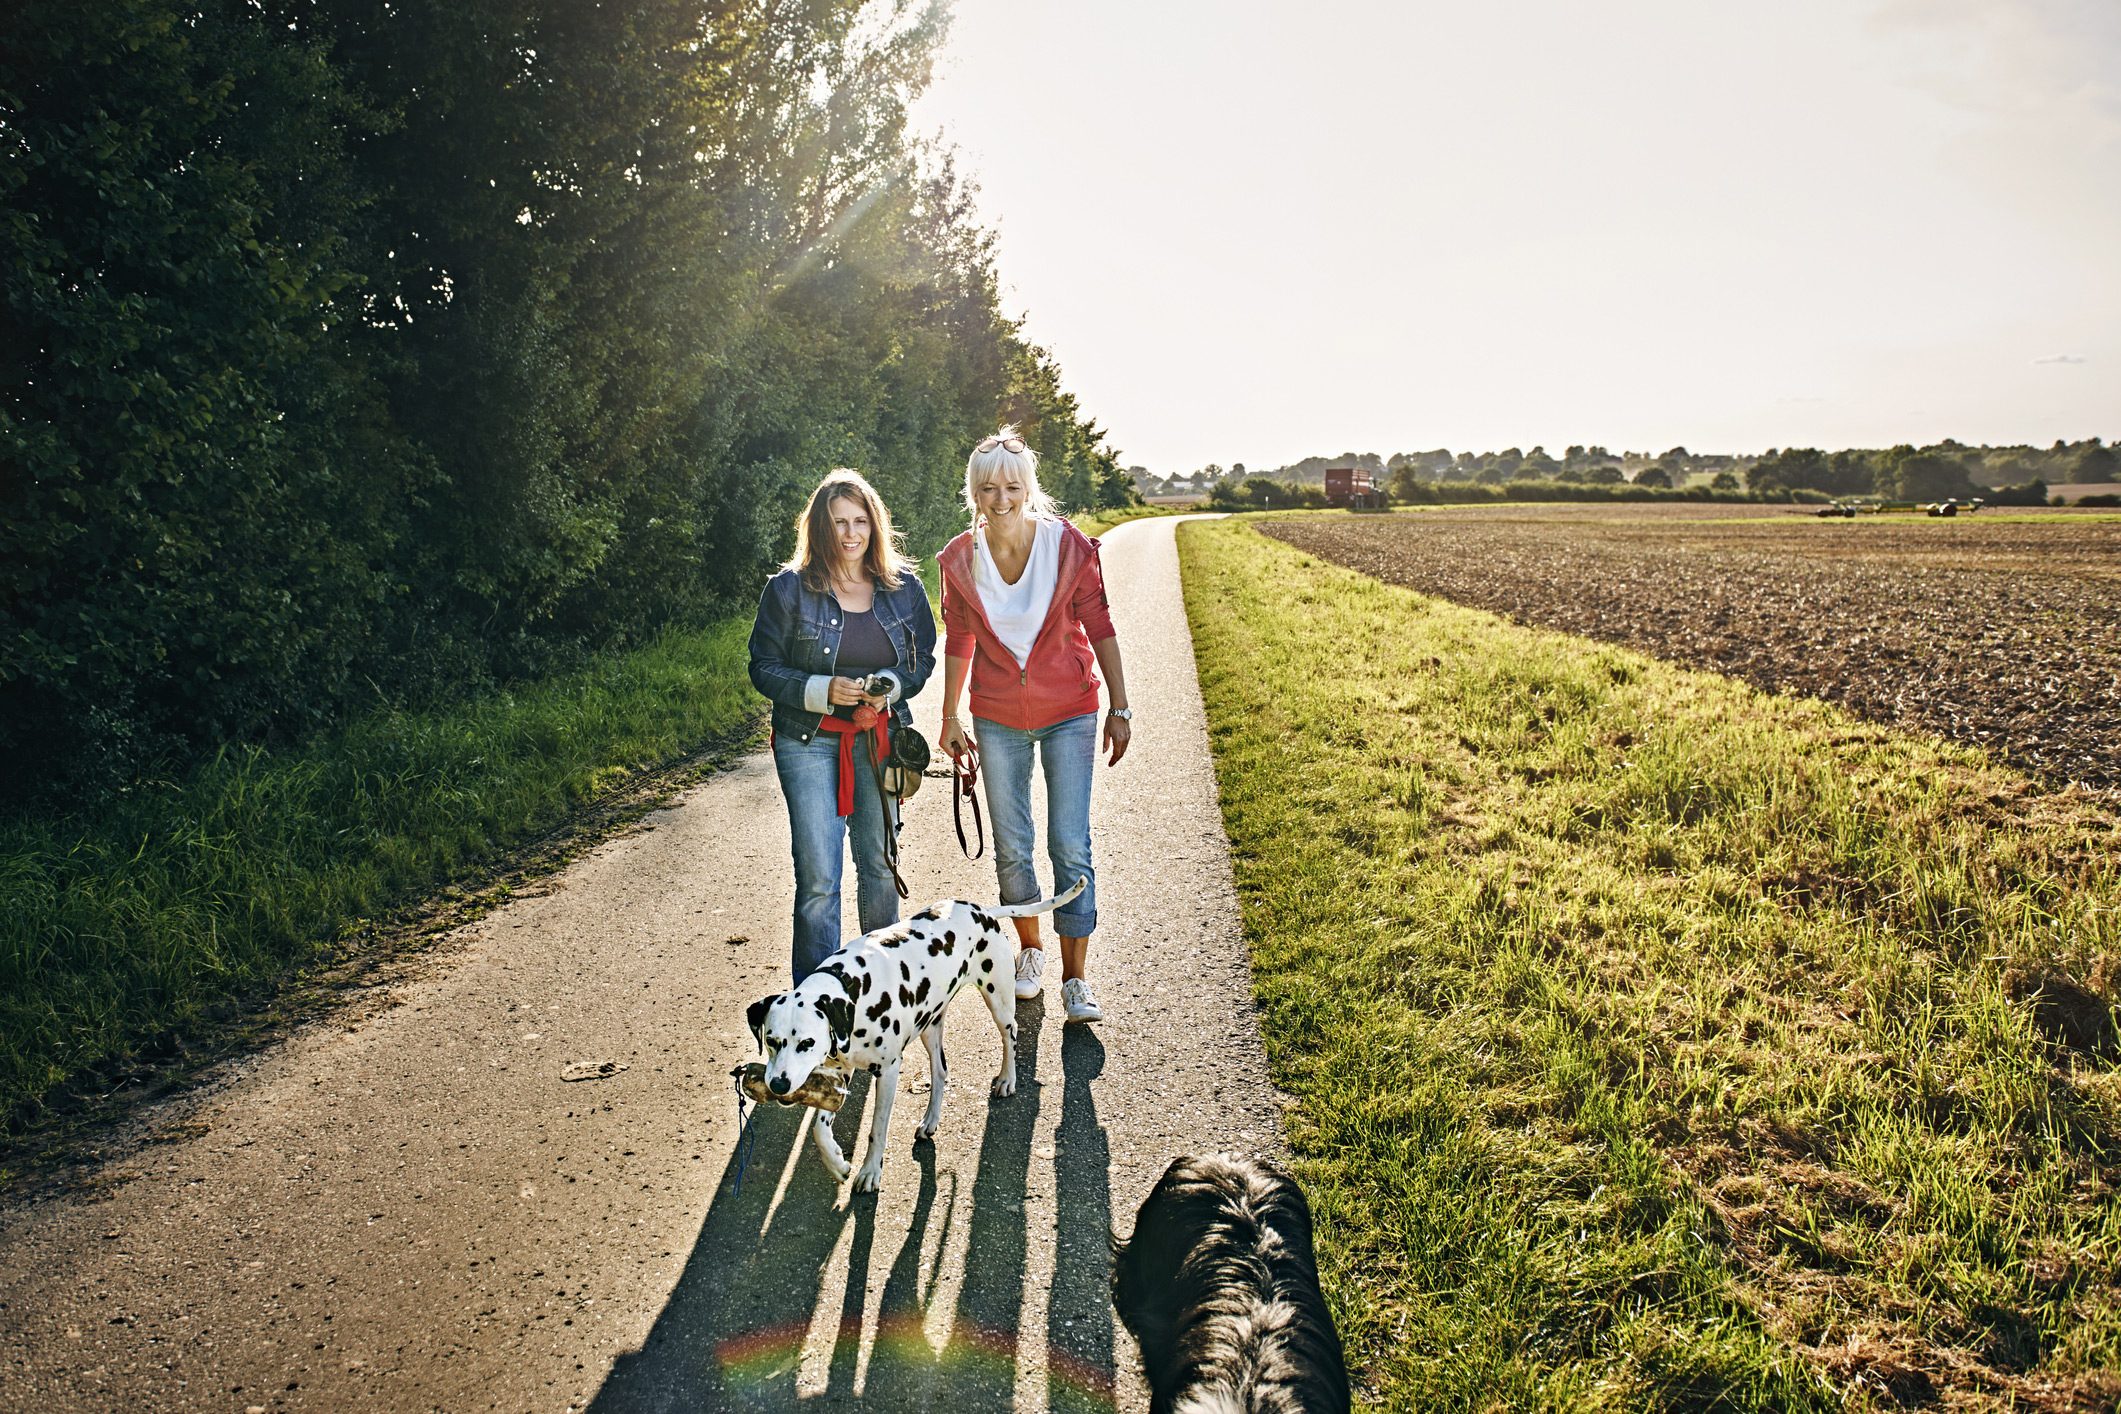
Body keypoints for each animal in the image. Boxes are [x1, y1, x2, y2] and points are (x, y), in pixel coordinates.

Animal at [742, 873, 1077, 1195]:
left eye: (807, 1043)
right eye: (771, 1042)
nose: (779, 1084)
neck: (853, 988)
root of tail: (983, 911)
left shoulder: (888, 1072)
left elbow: (877, 1130)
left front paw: (870, 1172)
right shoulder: (840, 1071)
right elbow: (819, 1128)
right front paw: (837, 1162)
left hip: (999, 1002)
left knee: (1011, 1035)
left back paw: (1007, 1079)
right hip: (930, 1026)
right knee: (940, 1072)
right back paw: (930, 1120)